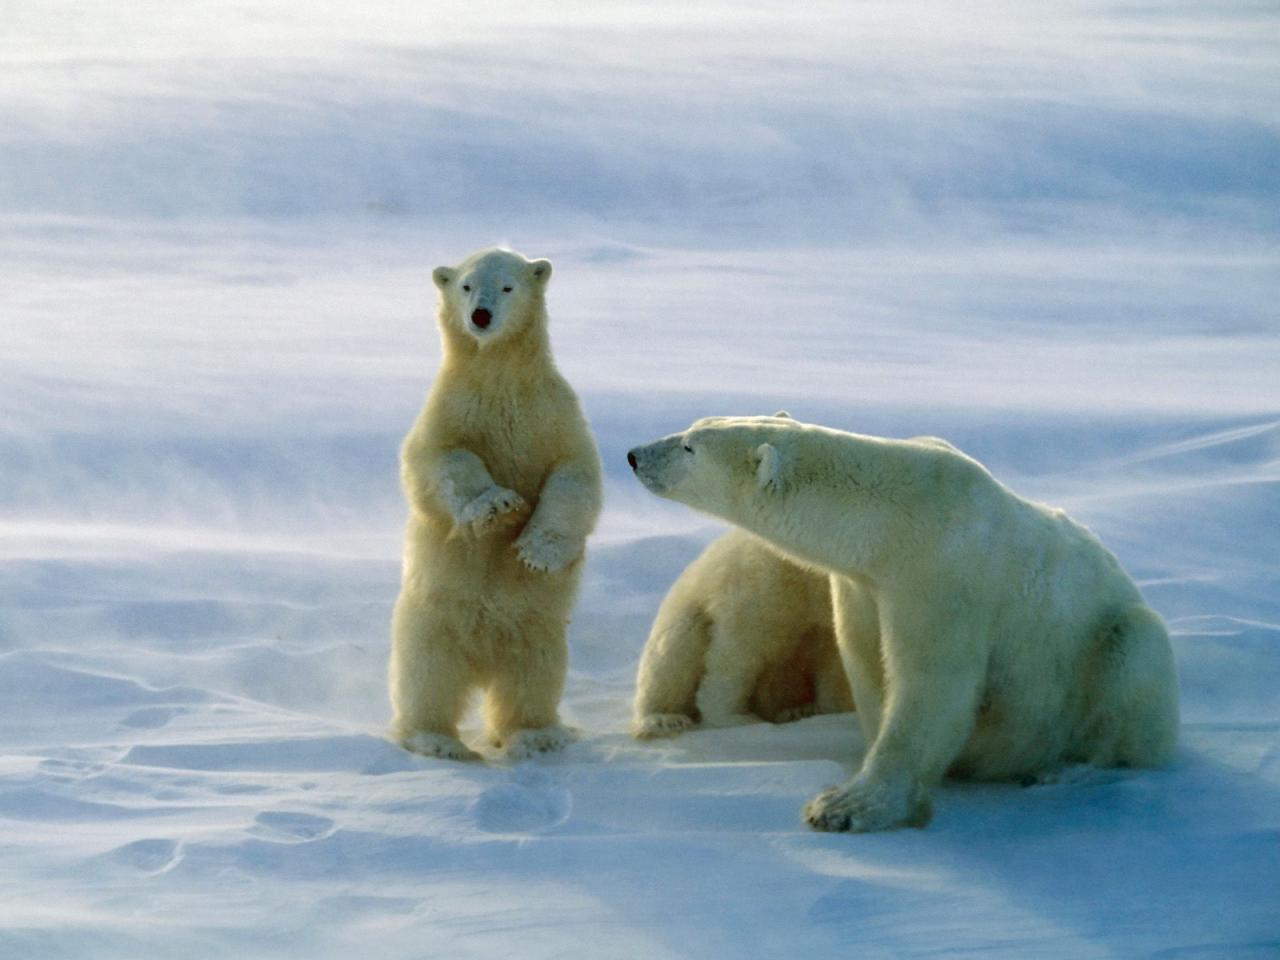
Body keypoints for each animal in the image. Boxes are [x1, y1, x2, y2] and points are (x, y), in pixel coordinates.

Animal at [386, 249, 601, 768]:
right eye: (465, 285)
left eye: (507, 286)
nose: (480, 316)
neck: (501, 378)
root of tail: (483, 660)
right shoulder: (452, 410)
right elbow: (439, 461)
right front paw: (498, 505)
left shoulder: (552, 414)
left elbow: (574, 475)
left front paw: (536, 551)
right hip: (431, 621)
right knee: (427, 678)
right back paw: (437, 740)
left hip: (538, 630)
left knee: (532, 679)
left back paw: (537, 736)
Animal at [634, 527, 855, 742]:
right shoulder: (768, 582)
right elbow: (740, 649)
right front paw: (737, 717)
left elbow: (833, 664)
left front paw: (822, 710)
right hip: (685, 611)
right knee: (674, 653)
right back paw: (664, 719)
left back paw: (797, 710)